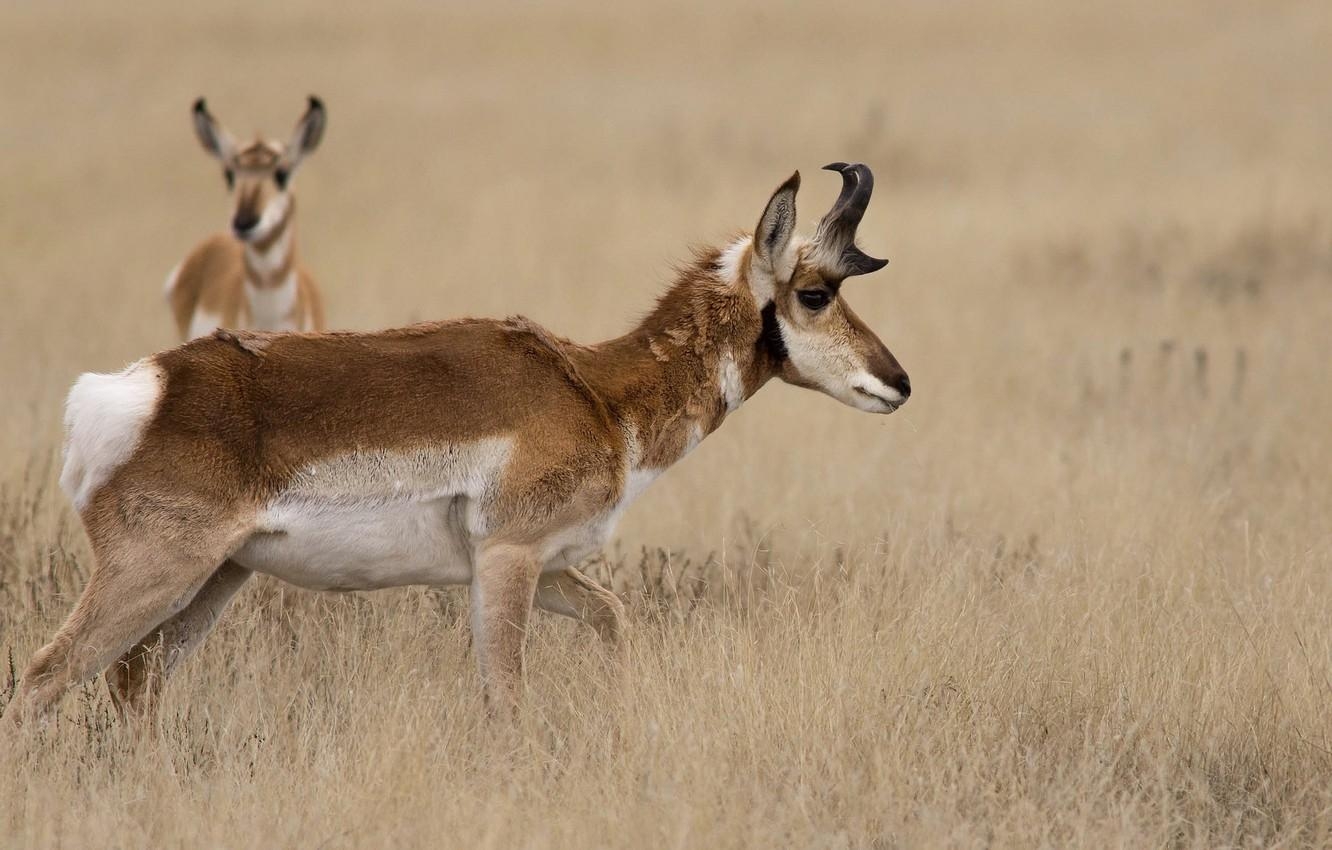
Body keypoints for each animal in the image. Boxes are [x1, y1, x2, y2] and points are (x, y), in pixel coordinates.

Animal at [5, 163, 911, 724]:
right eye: (815, 292)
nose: (898, 381)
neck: (595, 390)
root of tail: (133, 389)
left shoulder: (542, 566)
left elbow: (618, 621)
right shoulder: (509, 558)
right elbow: (506, 699)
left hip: (215, 580)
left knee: (133, 681)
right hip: (156, 573)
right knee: (44, 678)